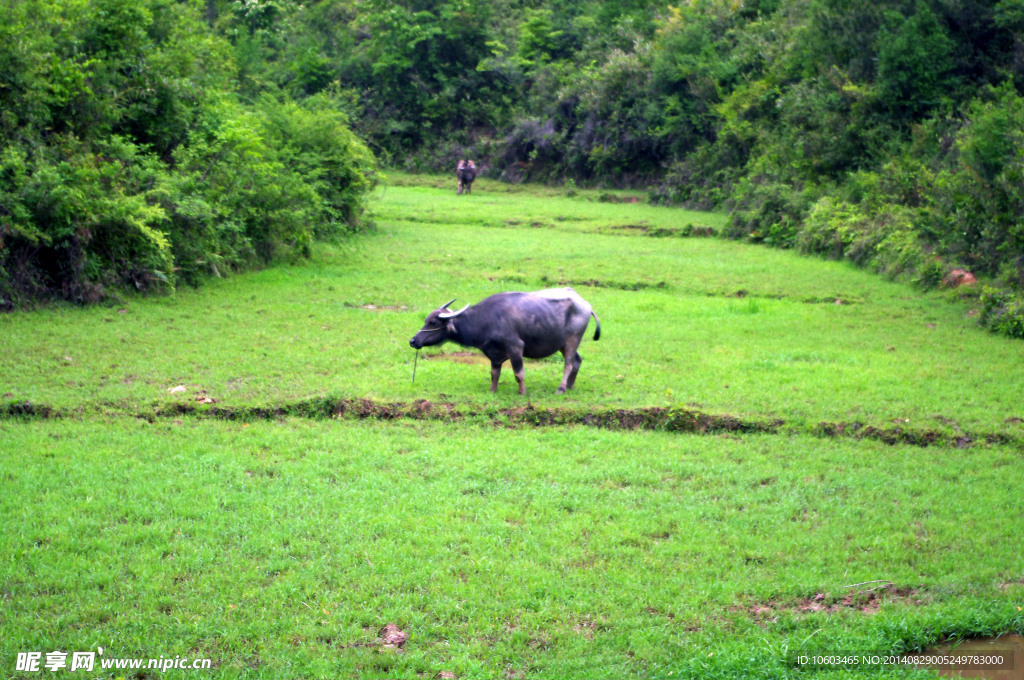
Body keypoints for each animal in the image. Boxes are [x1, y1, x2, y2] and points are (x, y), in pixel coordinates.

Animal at [407, 284, 598, 393]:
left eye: (433, 322)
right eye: (426, 320)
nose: (413, 341)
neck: (486, 319)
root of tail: (585, 304)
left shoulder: (515, 347)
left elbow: (519, 373)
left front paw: (522, 392)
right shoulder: (493, 353)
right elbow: (494, 374)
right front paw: (492, 391)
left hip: (572, 341)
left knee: (569, 364)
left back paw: (561, 388)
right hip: (563, 343)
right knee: (578, 361)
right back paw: (570, 386)